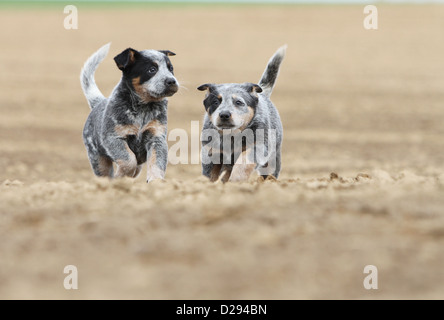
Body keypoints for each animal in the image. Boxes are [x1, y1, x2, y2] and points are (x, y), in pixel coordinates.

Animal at [80, 43, 179, 181]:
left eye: (171, 69)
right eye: (152, 69)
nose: (172, 81)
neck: (143, 107)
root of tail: (99, 102)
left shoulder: (157, 138)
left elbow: (156, 163)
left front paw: (156, 181)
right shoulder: (113, 138)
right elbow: (128, 160)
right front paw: (120, 177)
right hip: (98, 159)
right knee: (105, 173)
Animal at [199, 45, 288, 182]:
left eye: (239, 102)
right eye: (215, 102)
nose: (224, 114)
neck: (231, 137)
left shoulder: (257, 147)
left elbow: (243, 163)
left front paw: (235, 181)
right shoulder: (211, 151)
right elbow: (210, 174)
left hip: (273, 159)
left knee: (269, 173)